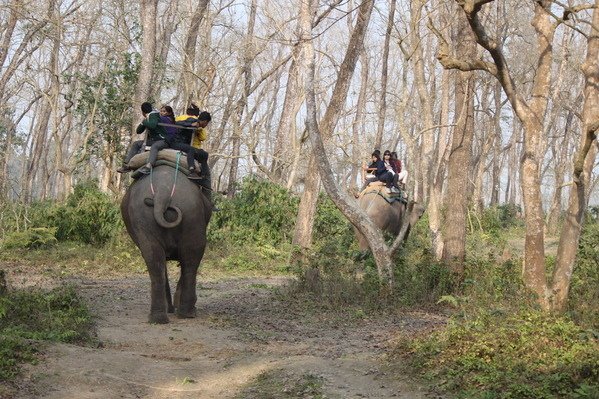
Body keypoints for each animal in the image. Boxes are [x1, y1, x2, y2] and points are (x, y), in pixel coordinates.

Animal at [120, 161, 212, 324]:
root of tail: (163, 191)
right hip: (190, 215)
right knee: (188, 258)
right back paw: (181, 314)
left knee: (157, 259)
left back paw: (162, 317)